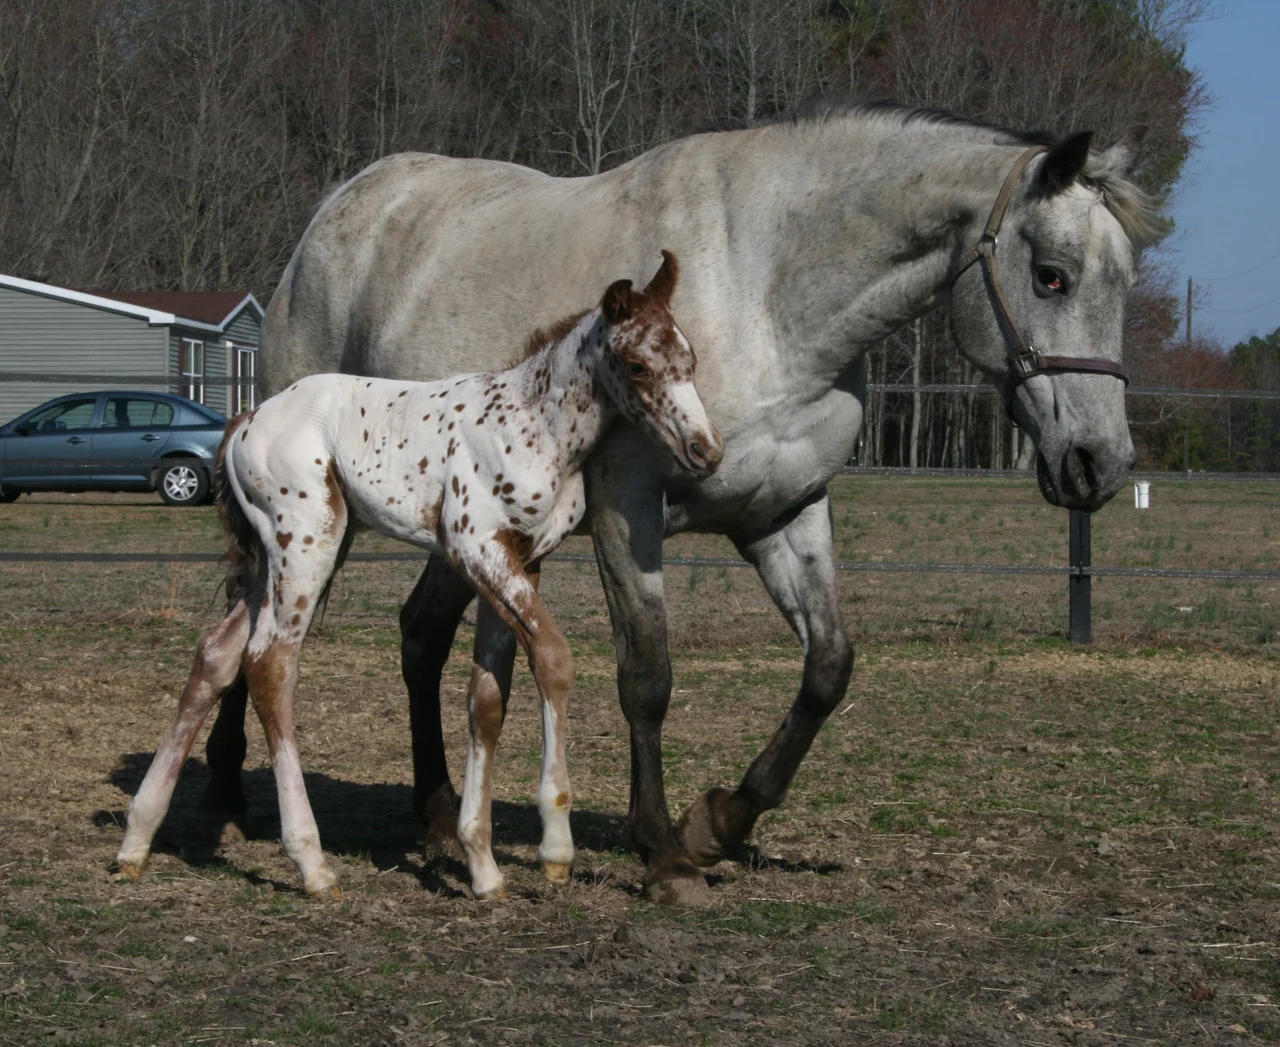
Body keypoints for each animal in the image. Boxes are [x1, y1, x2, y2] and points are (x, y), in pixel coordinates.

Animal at [115, 253, 722, 900]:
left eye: (690, 361)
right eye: (637, 365)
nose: (705, 451)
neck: (533, 423)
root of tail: (247, 419)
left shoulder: (522, 559)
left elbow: (487, 698)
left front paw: (482, 866)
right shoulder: (475, 546)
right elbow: (555, 659)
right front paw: (555, 848)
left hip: (277, 558)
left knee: (216, 653)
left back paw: (137, 839)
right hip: (308, 542)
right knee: (271, 663)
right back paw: (311, 862)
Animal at [203, 100, 1154, 906]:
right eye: (1053, 276)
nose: (1100, 464)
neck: (766, 292)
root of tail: (340, 210)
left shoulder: (786, 512)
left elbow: (829, 667)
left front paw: (718, 821)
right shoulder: (631, 513)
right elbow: (648, 678)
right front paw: (662, 851)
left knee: (417, 634)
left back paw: (437, 822)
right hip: (307, 524)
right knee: (250, 629)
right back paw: (226, 797)